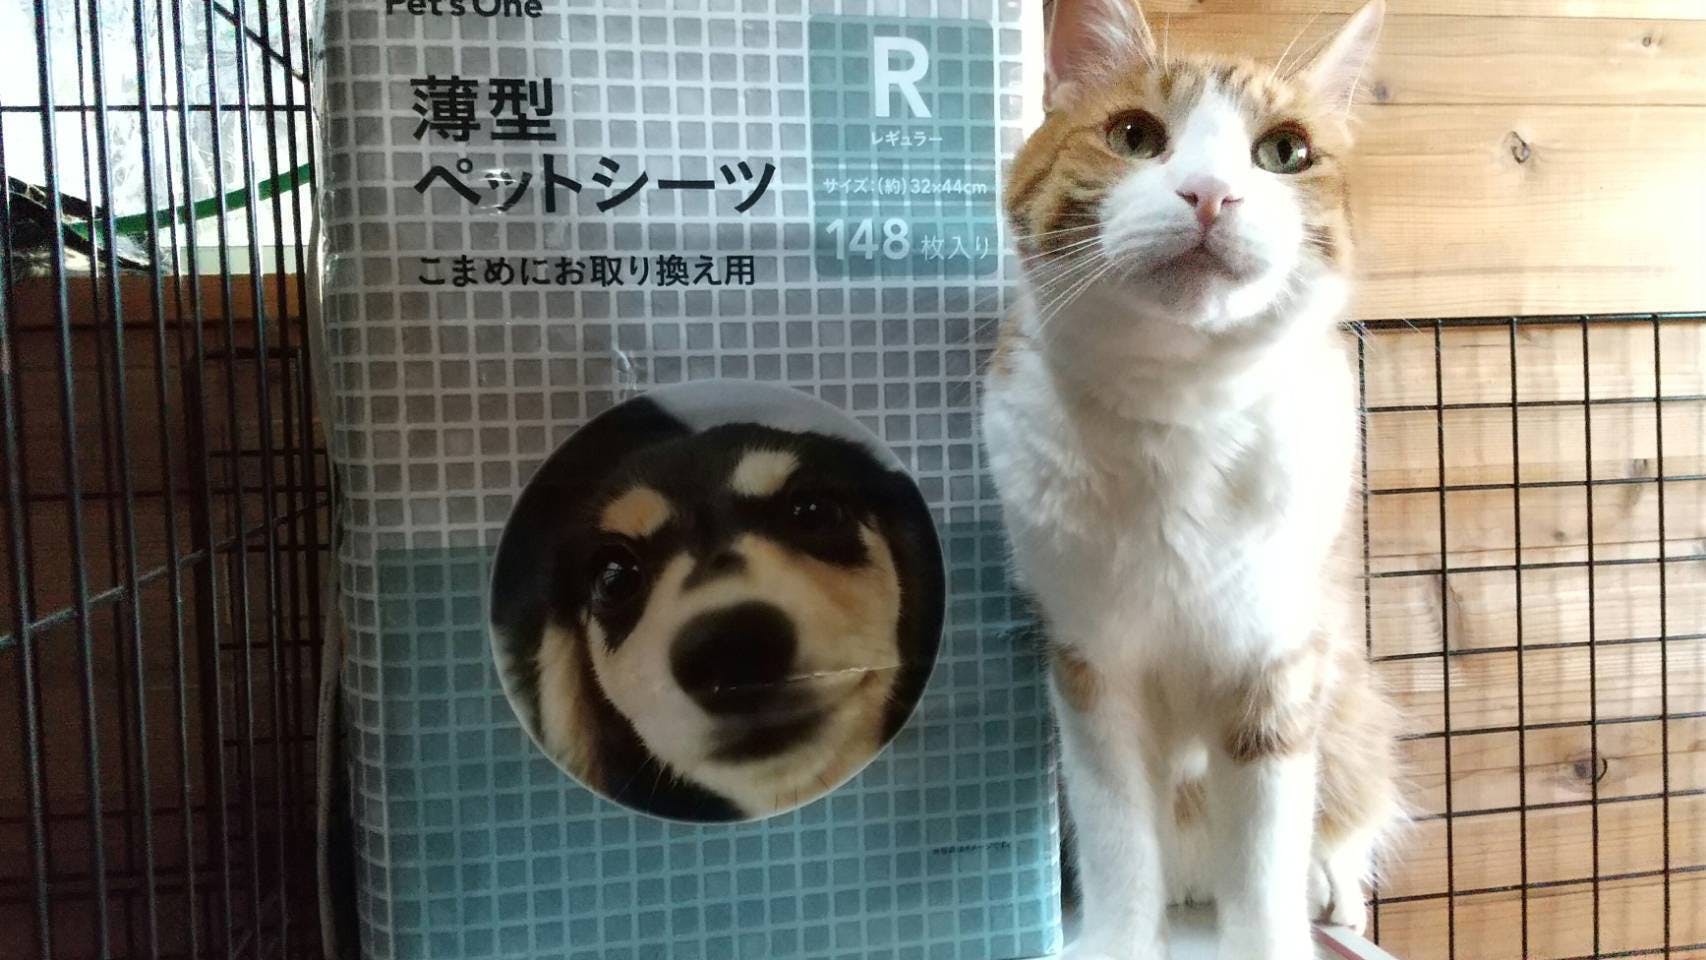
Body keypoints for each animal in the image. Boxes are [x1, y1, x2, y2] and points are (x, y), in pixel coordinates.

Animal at [979, 2, 1403, 958]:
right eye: (1135, 136)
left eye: (1285, 151)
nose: (1211, 194)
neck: (1178, 412)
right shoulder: (1090, 667)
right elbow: (1117, 837)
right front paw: (1119, 938)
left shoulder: (1278, 660)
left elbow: (1264, 853)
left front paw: (1274, 932)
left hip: (1348, 697)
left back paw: (1331, 885)